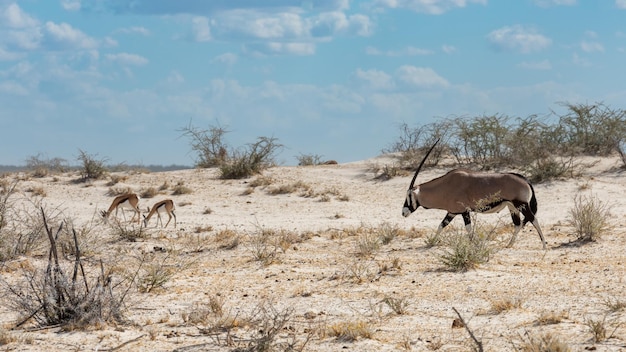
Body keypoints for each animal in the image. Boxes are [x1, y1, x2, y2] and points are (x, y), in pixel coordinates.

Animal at [402, 140, 544, 250]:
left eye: (409, 196)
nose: (403, 213)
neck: (446, 185)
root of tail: (525, 180)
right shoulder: (452, 212)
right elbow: (441, 225)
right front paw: (431, 242)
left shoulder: (464, 211)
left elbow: (468, 229)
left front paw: (472, 245)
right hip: (512, 207)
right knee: (518, 223)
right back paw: (509, 244)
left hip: (521, 204)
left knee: (533, 219)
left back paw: (544, 245)